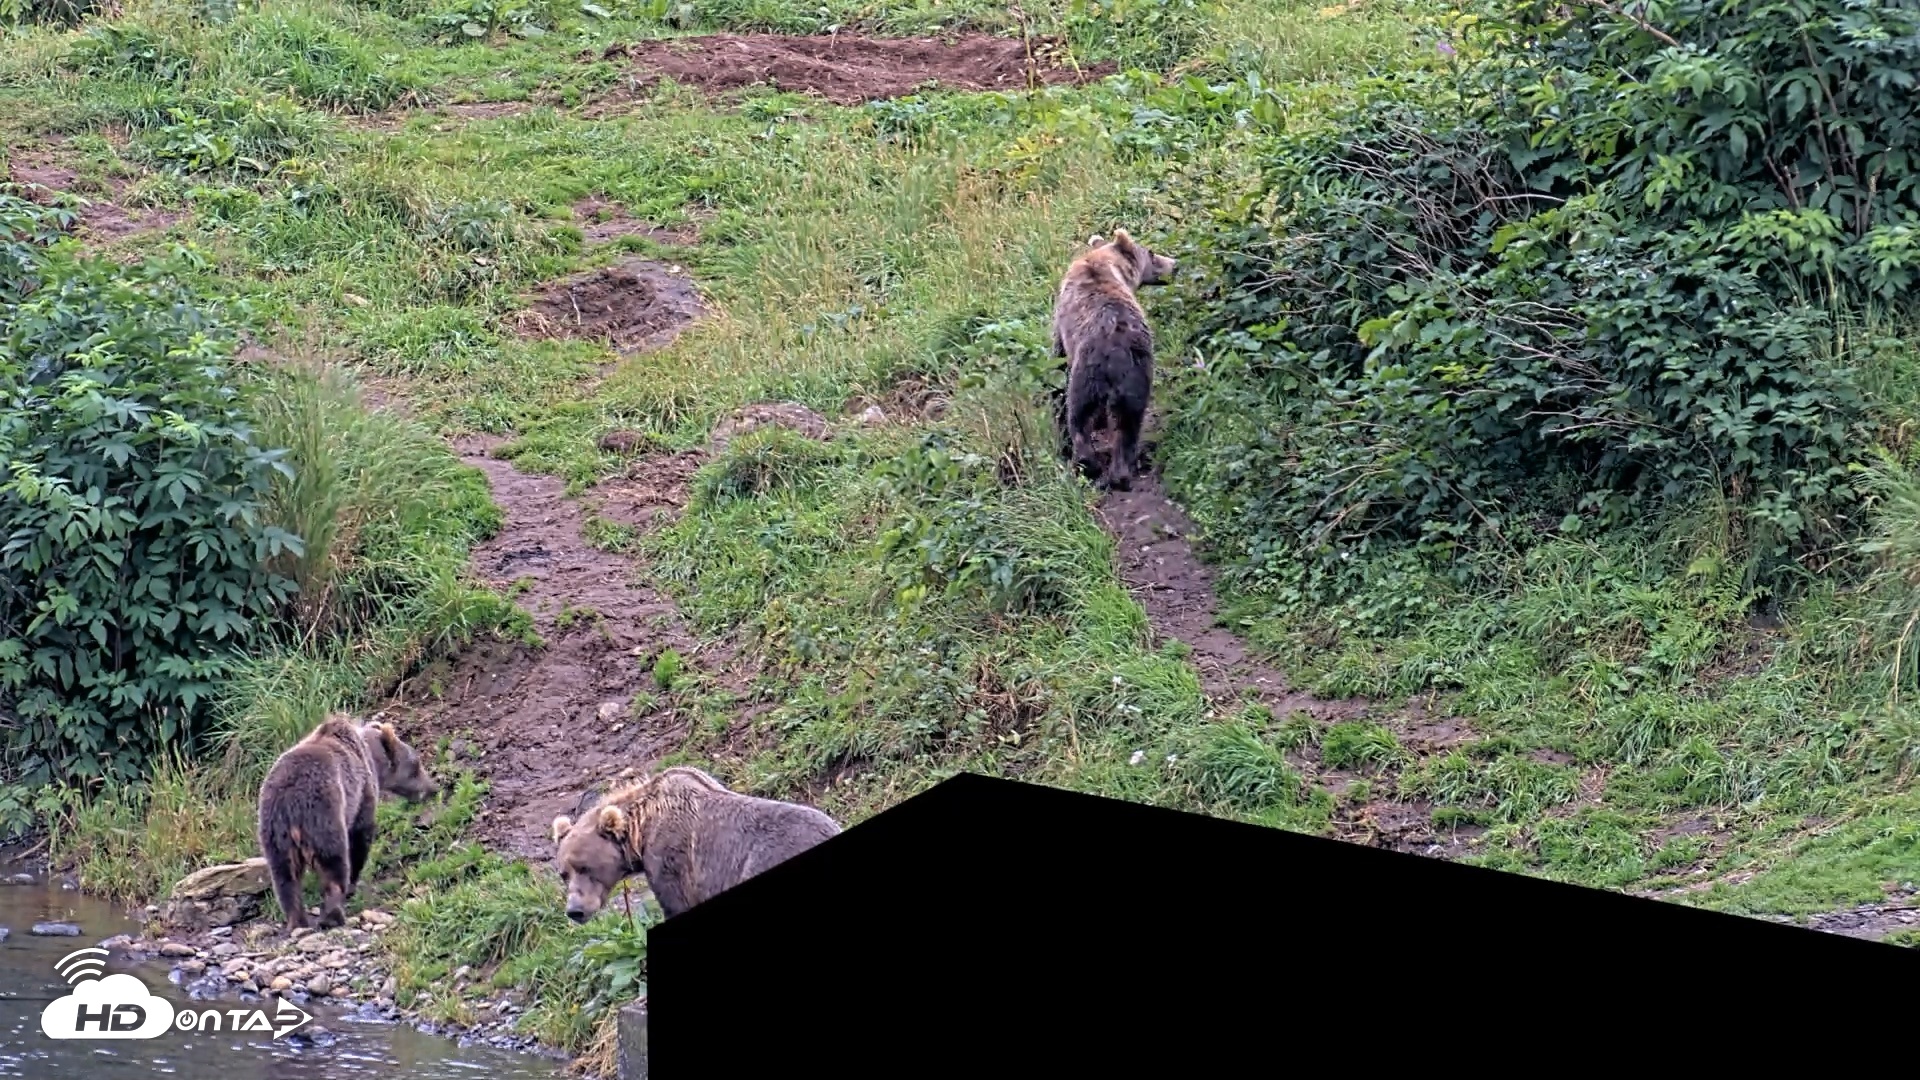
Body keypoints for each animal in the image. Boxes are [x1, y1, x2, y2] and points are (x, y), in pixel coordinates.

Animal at [256, 714, 440, 932]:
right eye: (416, 764)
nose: (434, 788)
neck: (371, 757)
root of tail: (291, 802)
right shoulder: (362, 791)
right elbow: (361, 835)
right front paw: (354, 881)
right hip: (324, 814)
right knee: (333, 864)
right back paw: (332, 915)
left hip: (274, 831)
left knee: (284, 877)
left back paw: (297, 921)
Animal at [550, 766, 842, 923]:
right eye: (564, 873)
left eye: (586, 867)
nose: (575, 911)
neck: (641, 829)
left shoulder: (671, 860)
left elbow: (676, 904)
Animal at [1050, 229, 1177, 491]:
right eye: (1151, 253)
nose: (1175, 264)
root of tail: (1115, 349)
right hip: (1137, 374)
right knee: (1128, 423)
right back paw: (1121, 473)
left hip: (1087, 375)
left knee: (1079, 416)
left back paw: (1087, 464)